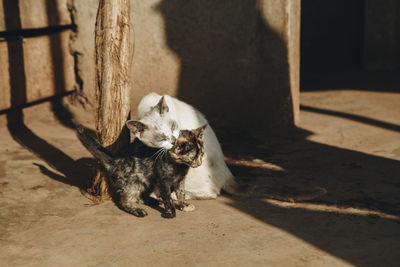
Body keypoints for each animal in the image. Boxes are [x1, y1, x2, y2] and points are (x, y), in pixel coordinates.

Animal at [77, 124, 206, 219]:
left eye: (202, 154)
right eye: (194, 157)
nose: (200, 163)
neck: (180, 166)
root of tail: (115, 160)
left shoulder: (180, 180)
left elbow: (181, 193)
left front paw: (184, 205)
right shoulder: (163, 181)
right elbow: (168, 197)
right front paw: (171, 213)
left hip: (148, 181)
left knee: (140, 196)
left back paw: (153, 200)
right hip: (132, 182)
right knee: (124, 201)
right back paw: (138, 210)